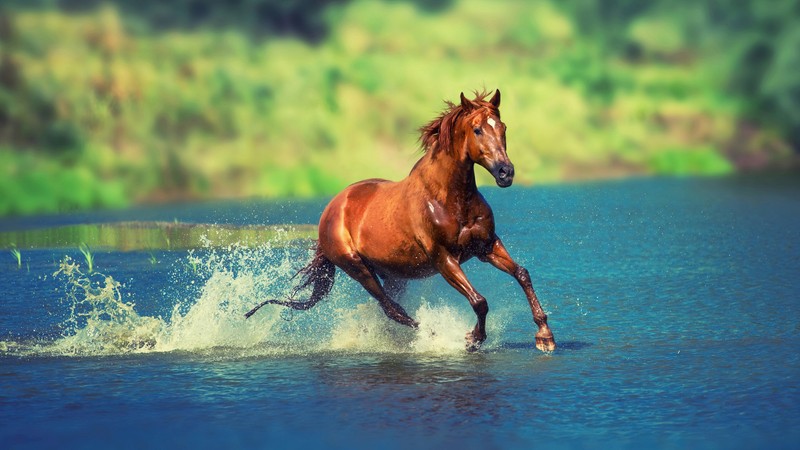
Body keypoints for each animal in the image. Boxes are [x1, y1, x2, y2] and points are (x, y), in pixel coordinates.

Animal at [244, 90, 556, 352]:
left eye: (503, 128)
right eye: (477, 129)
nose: (506, 173)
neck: (449, 198)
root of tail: (331, 210)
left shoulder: (486, 246)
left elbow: (522, 274)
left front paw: (545, 336)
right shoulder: (444, 258)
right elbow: (479, 301)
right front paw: (472, 339)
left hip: (393, 273)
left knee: (391, 308)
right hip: (357, 267)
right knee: (392, 309)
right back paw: (432, 335)